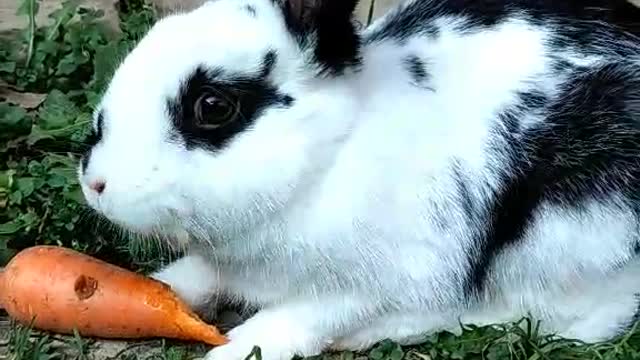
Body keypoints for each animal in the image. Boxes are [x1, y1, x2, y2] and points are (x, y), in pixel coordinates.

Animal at [76, 0, 640, 358]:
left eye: (213, 106)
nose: (95, 184)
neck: (328, 156)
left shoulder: (369, 283)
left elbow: (299, 318)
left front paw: (237, 351)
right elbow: (190, 280)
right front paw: (156, 286)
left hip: (571, 243)